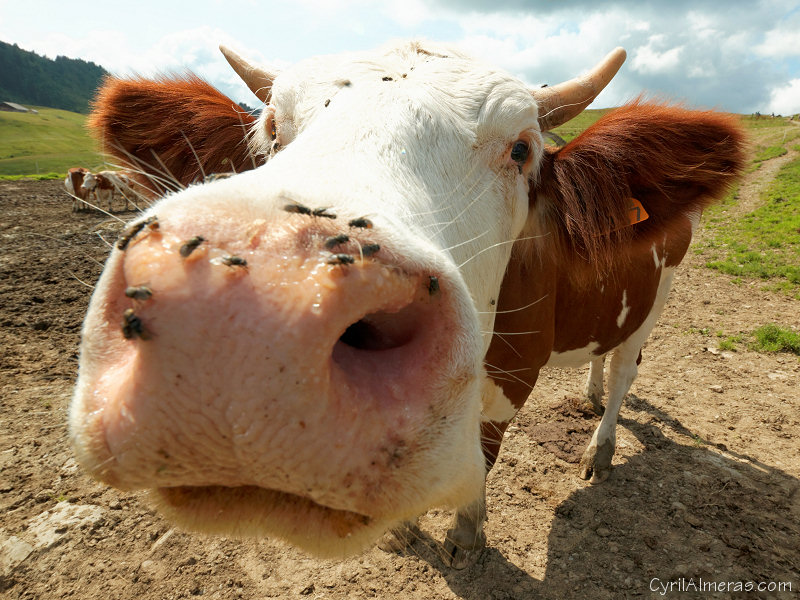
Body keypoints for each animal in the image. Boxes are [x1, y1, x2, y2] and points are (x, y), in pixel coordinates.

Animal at [69, 40, 745, 568]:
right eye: (271, 129)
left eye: (521, 149)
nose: (253, 324)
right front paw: (405, 532)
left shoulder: (512, 375)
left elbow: (483, 457)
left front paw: (466, 537)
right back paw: (589, 393)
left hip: (659, 296)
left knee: (629, 368)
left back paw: (599, 448)